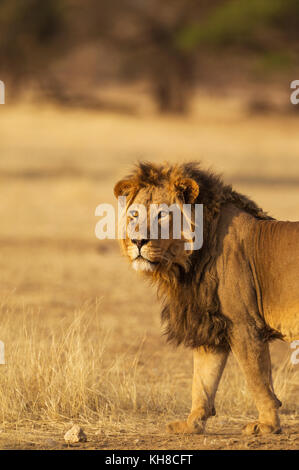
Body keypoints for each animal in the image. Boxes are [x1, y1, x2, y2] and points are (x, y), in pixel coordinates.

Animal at [113, 162, 298, 436]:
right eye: (134, 215)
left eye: (162, 215)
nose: (137, 241)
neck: (186, 263)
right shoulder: (208, 323)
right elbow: (202, 381)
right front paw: (191, 425)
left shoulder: (245, 324)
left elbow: (257, 379)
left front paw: (267, 425)